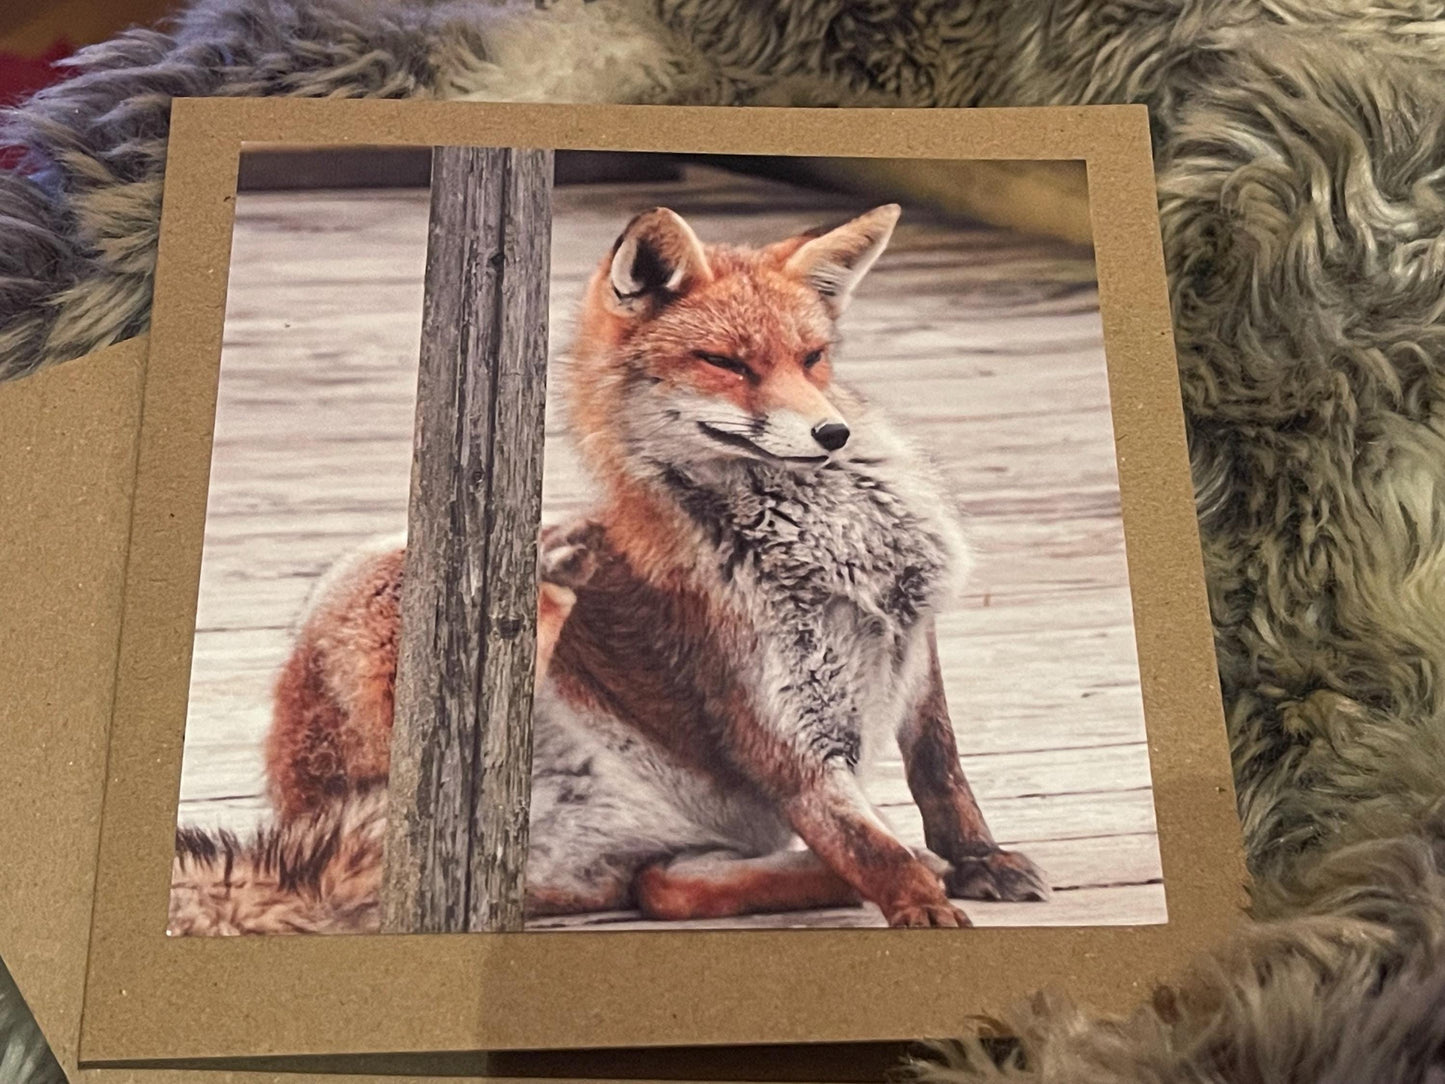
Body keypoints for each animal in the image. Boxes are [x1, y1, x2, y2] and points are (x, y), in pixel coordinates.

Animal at [261, 203, 1050, 928]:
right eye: (727, 363)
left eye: (812, 358)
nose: (834, 433)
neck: (833, 546)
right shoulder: (784, 732)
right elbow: (872, 849)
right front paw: (924, 910)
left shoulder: (912, 643)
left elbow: (940, 772)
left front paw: (975, 860)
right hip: (385, 577)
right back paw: (546, 572)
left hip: (654, 854)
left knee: (663, 888)